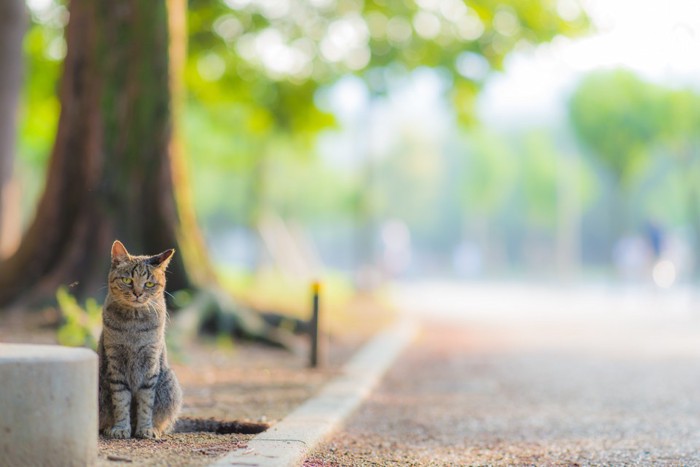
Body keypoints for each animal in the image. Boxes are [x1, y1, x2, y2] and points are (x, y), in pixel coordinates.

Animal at [95, 241, 266, 438]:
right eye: (127, 281)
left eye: (149, 284)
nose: (138, 293)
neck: (134, 323)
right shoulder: (115, 363)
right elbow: (121, 401)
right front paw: (121, 428)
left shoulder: (150, 363)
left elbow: (146, 403)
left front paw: (145, 428)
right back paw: (109, 427)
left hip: (169, 381)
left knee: (164, 421)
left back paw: (154, 428)